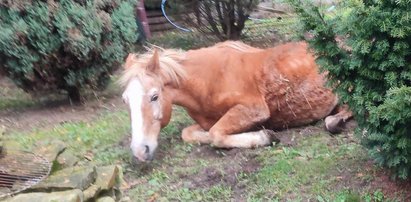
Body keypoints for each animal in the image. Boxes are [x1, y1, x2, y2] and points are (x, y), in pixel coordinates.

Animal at [120, 41, 352, 163]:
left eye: (154, 96)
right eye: (125, 100)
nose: (140, 150)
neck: (208, 81)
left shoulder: (254, 108)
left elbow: (216, 134)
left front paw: (264, 136)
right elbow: (192, 133)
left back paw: (336, 121)